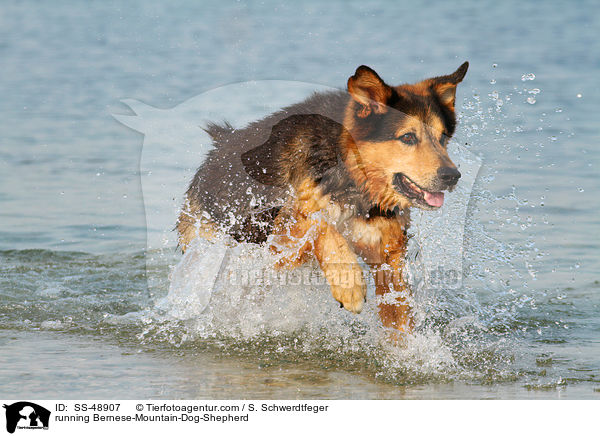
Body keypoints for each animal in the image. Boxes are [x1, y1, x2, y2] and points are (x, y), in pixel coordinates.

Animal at [177, 62, 468, 334]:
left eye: (443, 138)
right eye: (408, 137)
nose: (452, 176)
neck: (348, 172)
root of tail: (220, 145)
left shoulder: (388, 253)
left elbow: (398, 315)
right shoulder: (281, 237)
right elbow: (322, 226)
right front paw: (348, 283)